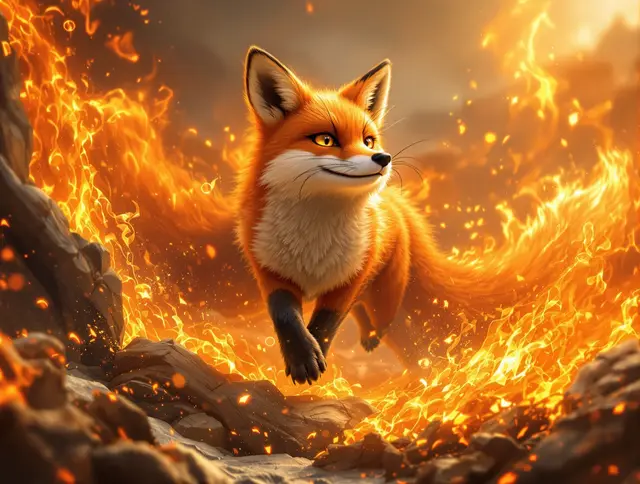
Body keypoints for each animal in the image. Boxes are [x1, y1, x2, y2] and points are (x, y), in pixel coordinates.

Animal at [235, 46, 573, 385]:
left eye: (368, 140)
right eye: (325, 140)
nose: (383, 158)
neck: (314, 244)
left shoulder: (352, 277)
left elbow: (327, 322)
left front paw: (317, 351)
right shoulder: (268, 269)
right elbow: (285, 316)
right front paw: (302, 357)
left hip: (387, 288)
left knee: (379, 315)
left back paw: (373, 336)